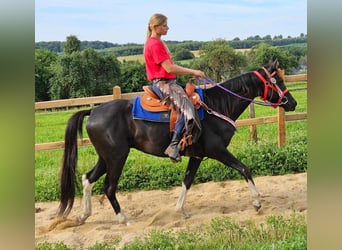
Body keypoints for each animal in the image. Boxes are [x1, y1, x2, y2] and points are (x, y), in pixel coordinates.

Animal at [56, 59, 296, 226]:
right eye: (277, 81)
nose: (292, 103)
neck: (217, 105)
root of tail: (93, 111)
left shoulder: (197, 155)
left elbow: (187, 181)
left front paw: (180, 211)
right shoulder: (217, 150)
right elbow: (245, 169)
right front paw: (257, 202)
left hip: (106, 157)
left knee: (88, 179)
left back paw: (83, 215)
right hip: (117, 157)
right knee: (109, 187)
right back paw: (124, 219)